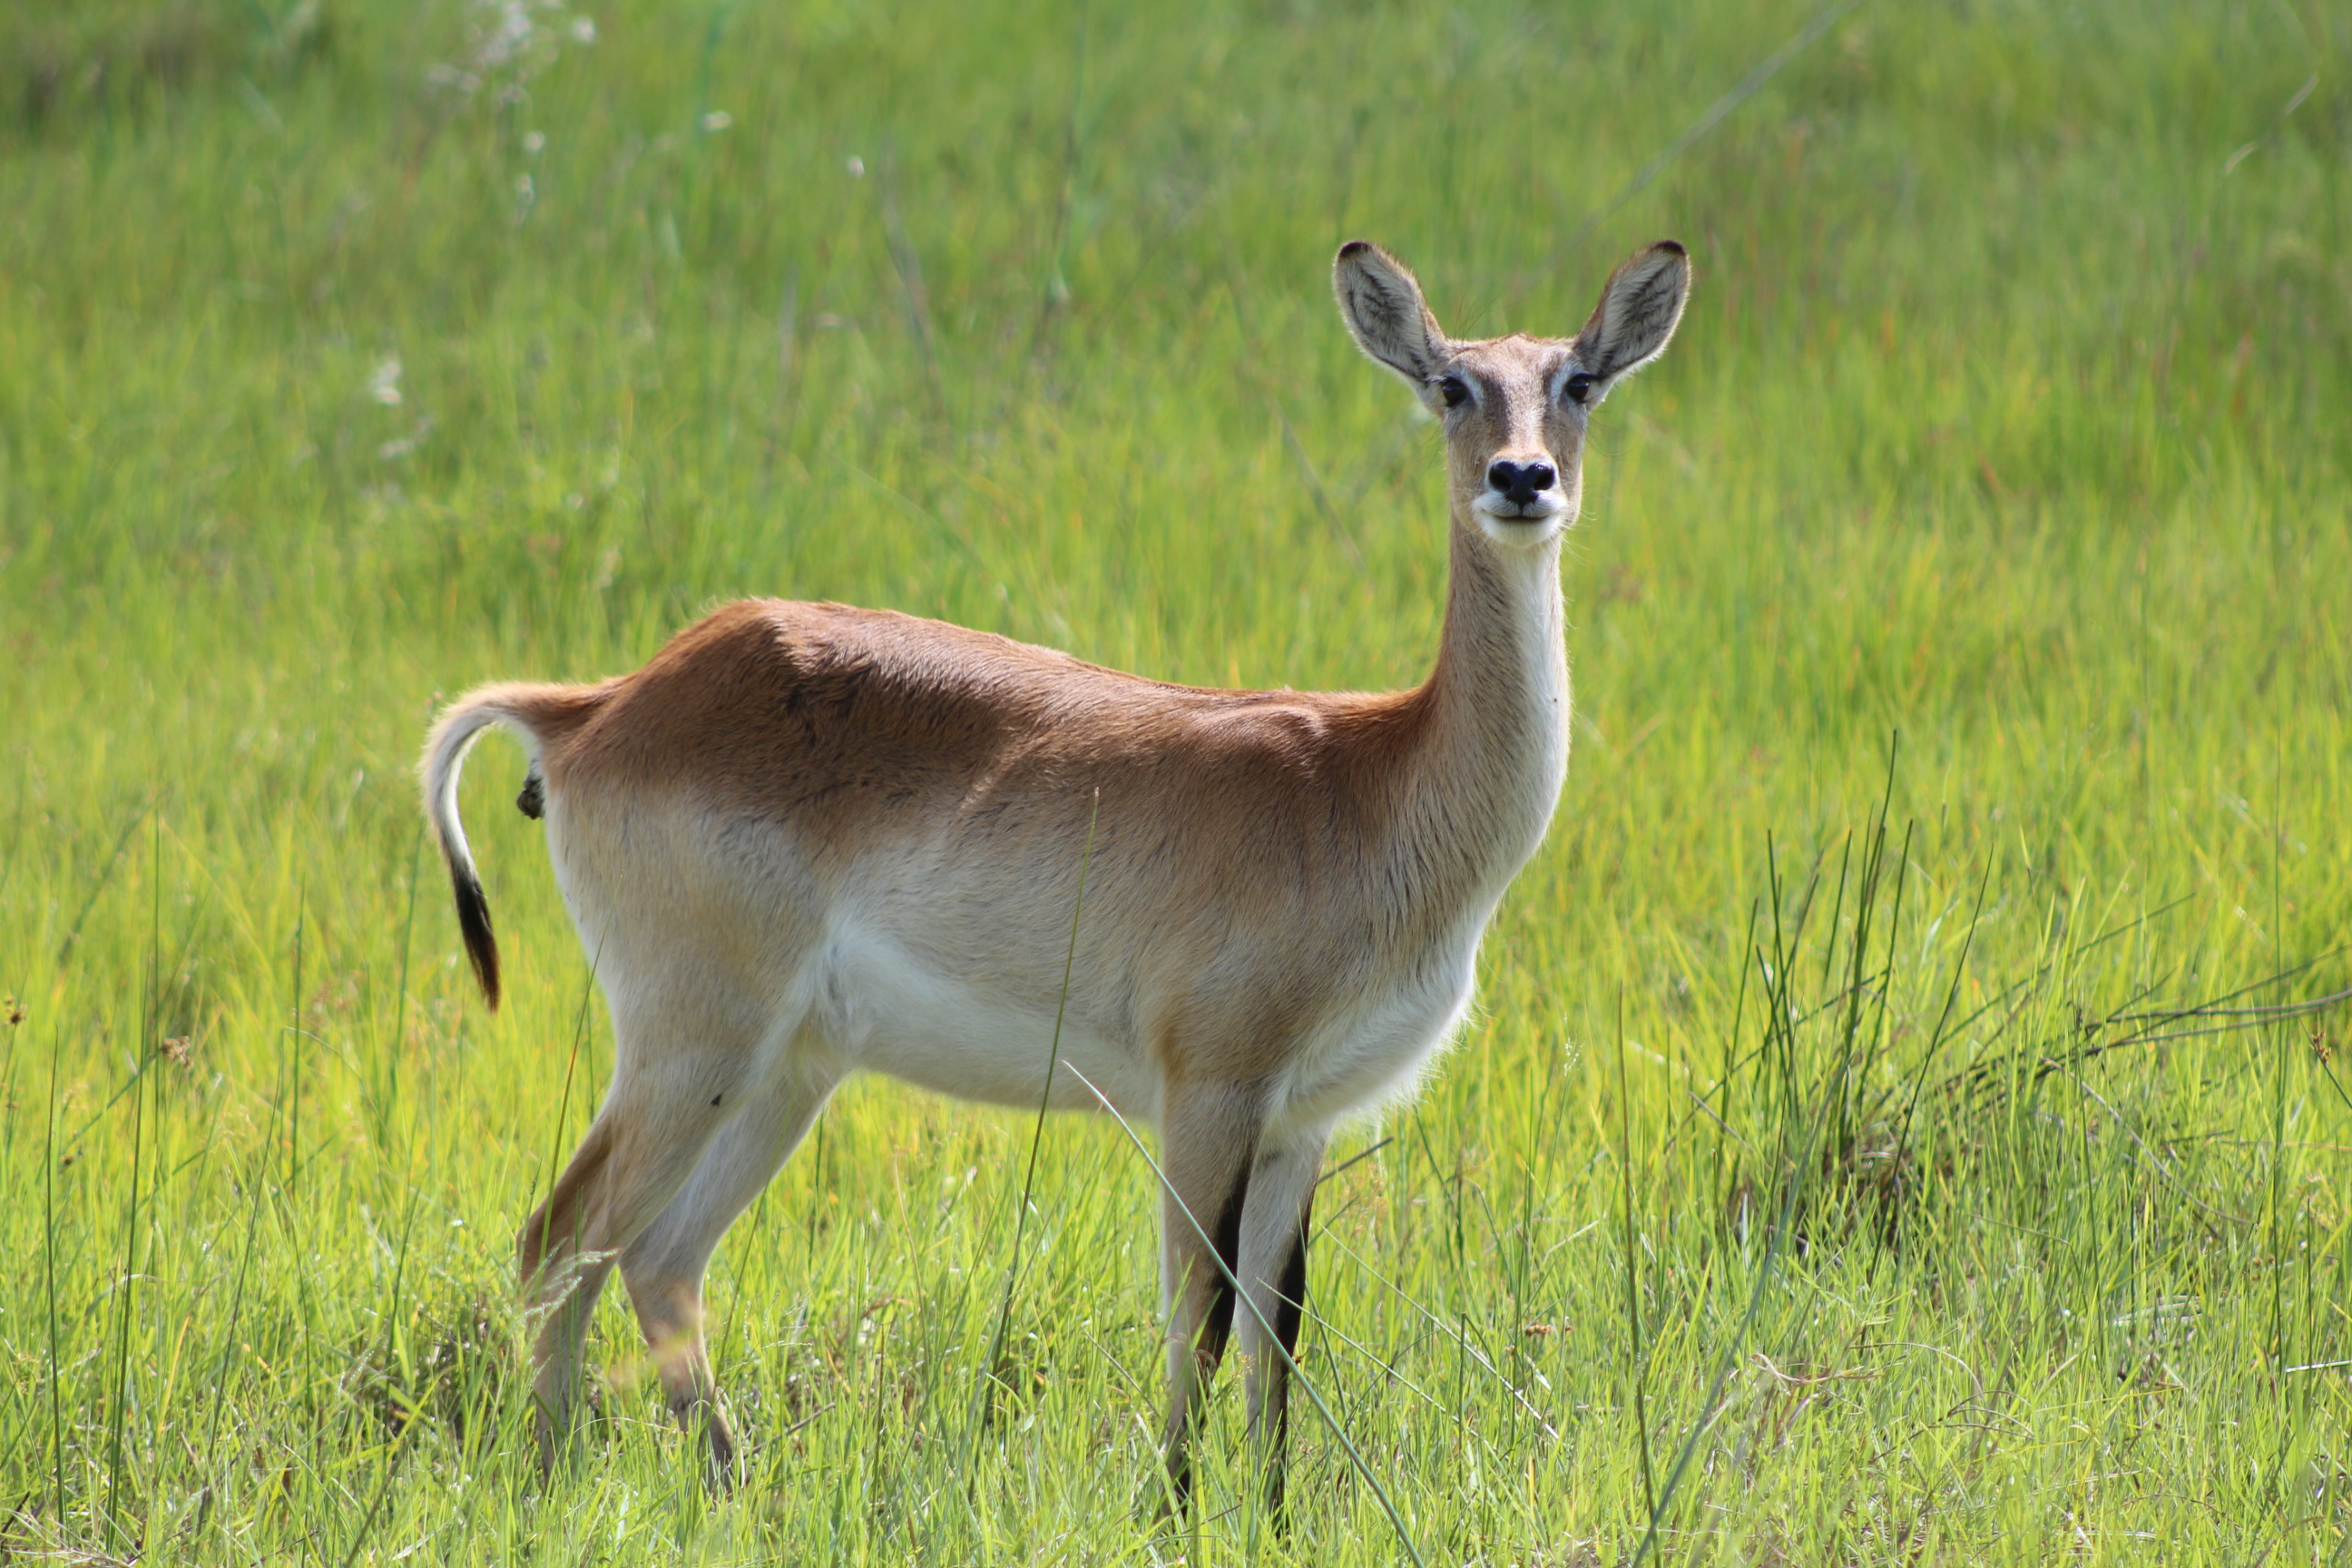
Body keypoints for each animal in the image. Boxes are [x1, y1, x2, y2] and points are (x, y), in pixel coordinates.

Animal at [420, 238, 1689, 1504]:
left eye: (1578, 381)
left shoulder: (1305, 1120)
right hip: (693, 1039)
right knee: (560, 1239)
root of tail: (596, 708)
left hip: (788, 1067)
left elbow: (1277, 1338)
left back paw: (729, 1489)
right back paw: (549, 1481)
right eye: (1452, 385)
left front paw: (1273, 1518)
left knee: (656, 1258)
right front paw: (1173, 1510)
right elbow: (1199, 1321)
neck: (1373, 788)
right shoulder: (1210, 1089)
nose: (1522, 478)